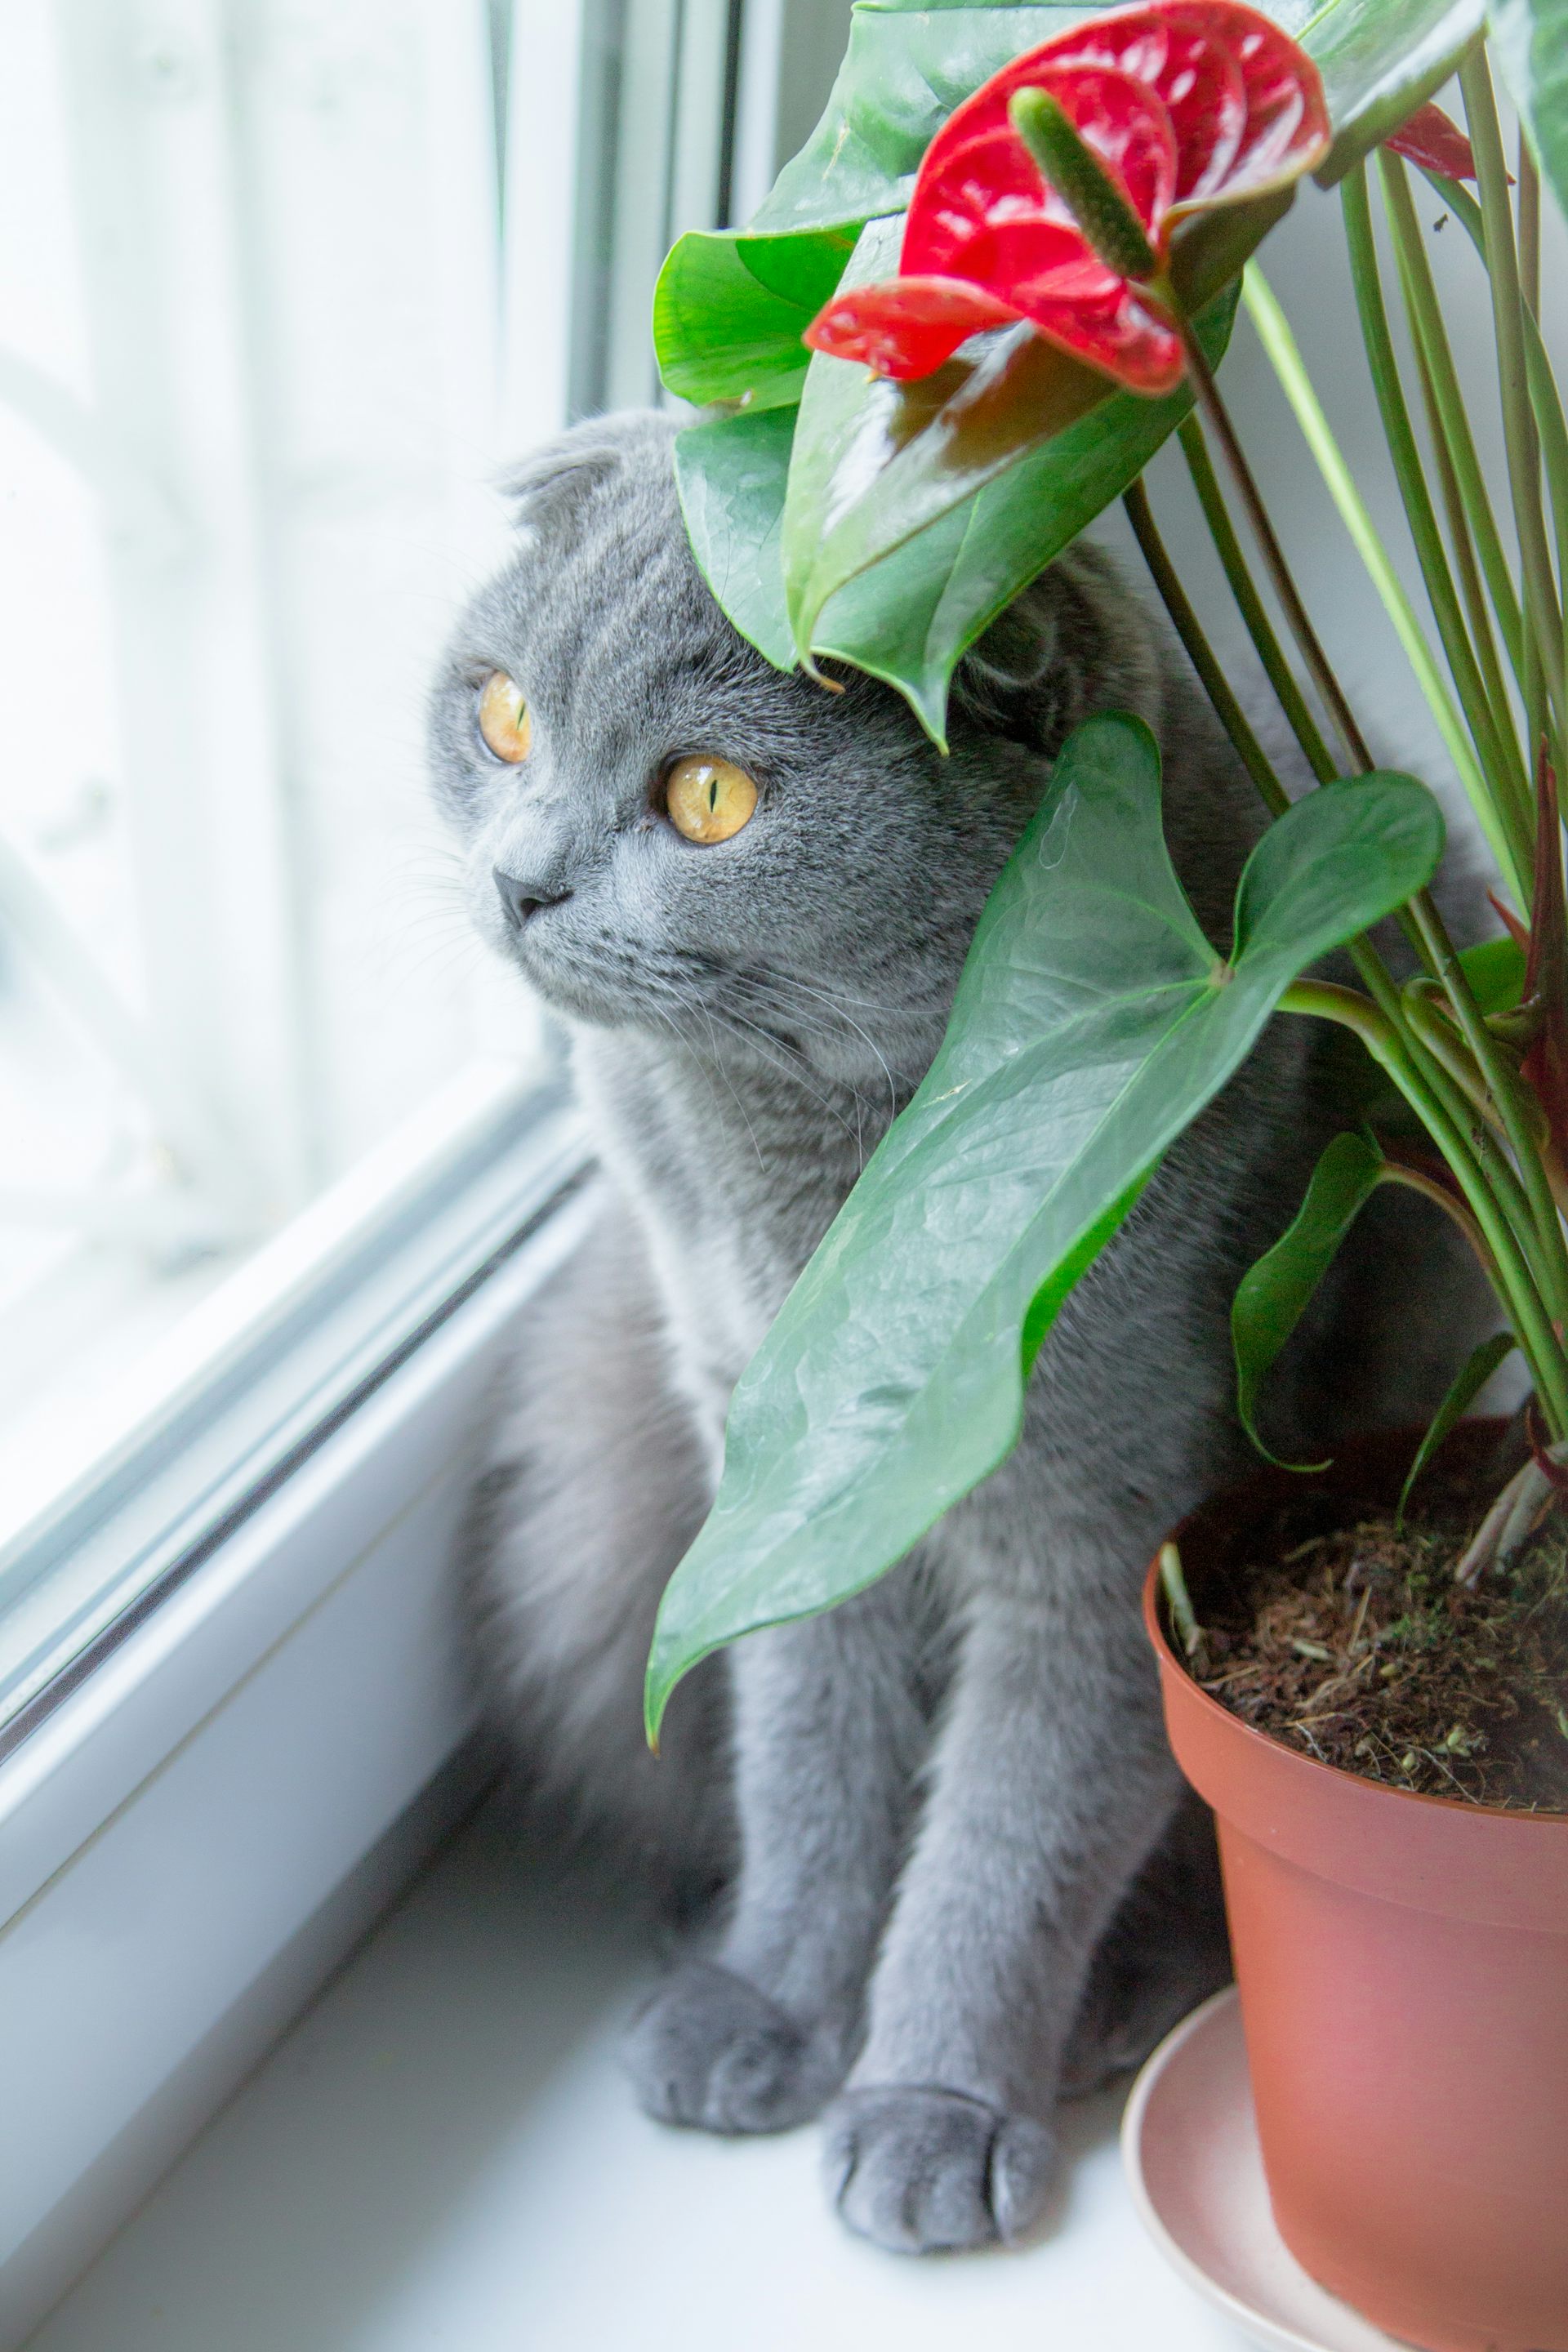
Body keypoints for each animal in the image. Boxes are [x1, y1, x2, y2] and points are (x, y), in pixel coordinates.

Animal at [425, 413, 1476, 2248]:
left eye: (709, 796)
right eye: (501, 717)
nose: (520, 878)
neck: (830, 1196)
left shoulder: (1109, 1519)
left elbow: (1015, 1826)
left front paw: (931, 2105)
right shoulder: (767, 1474)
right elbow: (805, 1749)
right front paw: (774, 1998)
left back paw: (1117, 1999)